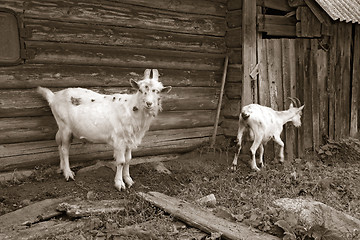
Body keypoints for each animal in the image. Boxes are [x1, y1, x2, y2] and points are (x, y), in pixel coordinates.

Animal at [38, 69, 172, 191]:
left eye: (158, 92)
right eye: (140, 90)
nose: (149, 103)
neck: (131, 108)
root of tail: (53, 97)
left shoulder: (130, 139)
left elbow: (129, 160)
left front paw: (128, 179)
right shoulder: (119, 139)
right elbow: (121, 161)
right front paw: (119, 183)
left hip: (62, 128)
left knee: (59, 145)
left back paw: (62, 168)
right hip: (65, 126)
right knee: (65, 149)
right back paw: (68, 173)